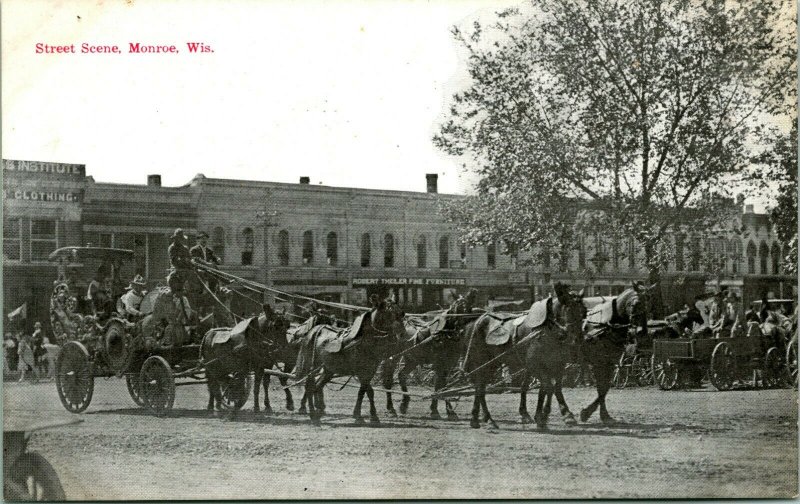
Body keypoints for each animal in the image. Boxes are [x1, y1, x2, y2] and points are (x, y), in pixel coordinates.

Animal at [292, 296, 406, 426]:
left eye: (401, 313)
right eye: (388, 313)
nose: (402, 335)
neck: (365, 340)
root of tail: (314, 330)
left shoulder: (370, 371)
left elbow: (363, 392)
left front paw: (364, 415)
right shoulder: (361, 372)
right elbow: (369, 391)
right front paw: (367, 416)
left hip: (328, 370)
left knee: (317, 386)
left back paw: (318, 411)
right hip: (312, 366)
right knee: (310, 386)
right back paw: (312, 414)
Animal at [382, 290, 478, 420]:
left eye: (468, 308)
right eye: (455, 308)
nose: (461, 331)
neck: (446, 335)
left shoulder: (449, 364)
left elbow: (444, 386)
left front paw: (449, 411)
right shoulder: (439, 364)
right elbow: (439, 385)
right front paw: (436, 410)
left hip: (413, 359)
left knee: (402, 375)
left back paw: (404, 404)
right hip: (393, 357)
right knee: (388, 379)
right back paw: (391, 408)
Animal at [460, 284, 584, 430]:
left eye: (584, 311)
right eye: (569, 309)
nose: (578, 339)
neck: (547, 330)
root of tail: (474, 321)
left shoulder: (557, 364)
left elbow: (553, 388)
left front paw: (550, 415)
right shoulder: (535, 365)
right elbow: (547, 387)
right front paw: (542, 417)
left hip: (492, 363)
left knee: (481, 386)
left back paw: (480, 418)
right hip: (481, 361)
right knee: (480, 387)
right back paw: (485, 419)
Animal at [580, 282, 652, 424]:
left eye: (648, 303)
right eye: (636, 303)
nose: (642, 331)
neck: (608, 324)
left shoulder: (610, 362)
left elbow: (605, 388)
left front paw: (603, 415)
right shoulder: (598, 362)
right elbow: (601, 387)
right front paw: (586, 413)